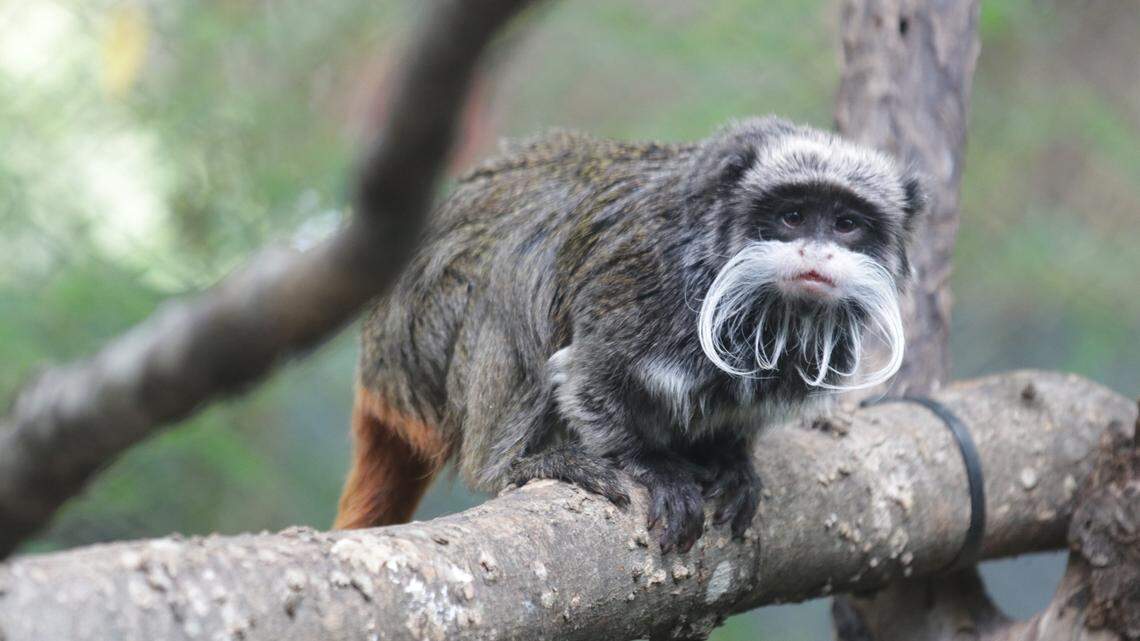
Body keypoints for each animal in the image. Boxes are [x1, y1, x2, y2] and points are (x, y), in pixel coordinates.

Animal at [334, 116, 925, 552]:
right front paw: (653, 466)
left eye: (847, 224)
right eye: (793, 215)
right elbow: (587, 376)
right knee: (515, 274)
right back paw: (514, 463)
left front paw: (731, 459)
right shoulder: (641, 281)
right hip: (422, 342)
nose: (817, 253)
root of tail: (376, 368)